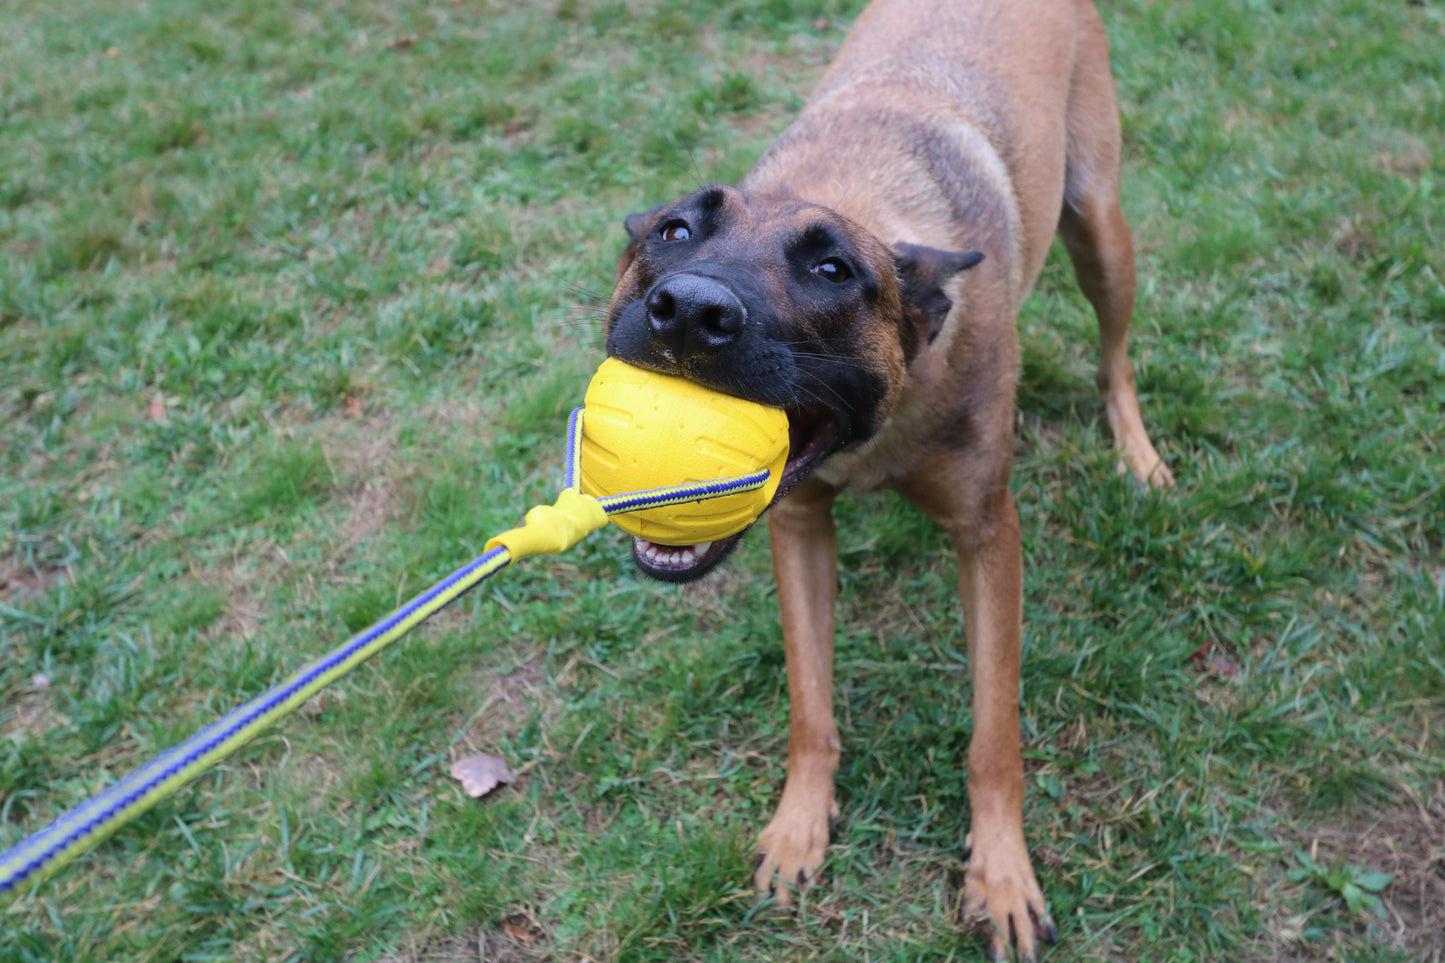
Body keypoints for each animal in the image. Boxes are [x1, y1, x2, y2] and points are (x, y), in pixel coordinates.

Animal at [598, 3, 1173, 954]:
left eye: (833, 271)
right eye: (673, 232)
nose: (687, 312)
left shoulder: (987, 535)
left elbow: (993, 733)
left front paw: (1001, 872)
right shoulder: (798, 525)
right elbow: (810, 705)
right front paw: (798, 826)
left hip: (1100, 228)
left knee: (1114, 354)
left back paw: (1138, 454)